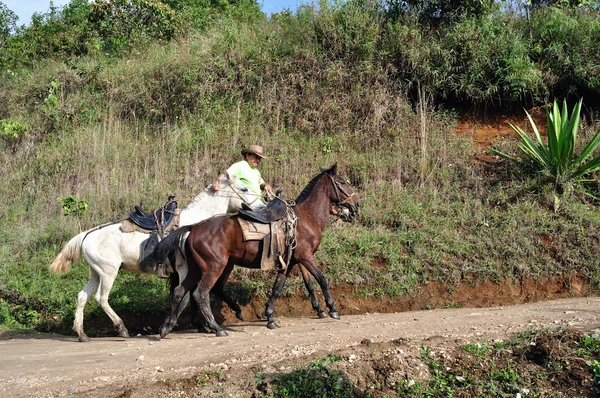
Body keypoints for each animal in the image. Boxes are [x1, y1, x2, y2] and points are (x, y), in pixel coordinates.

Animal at [49, 177, 260, 342]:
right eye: (244, 188)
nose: (260, 206)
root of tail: (86, 235)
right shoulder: (183, 269)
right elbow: (186, 296)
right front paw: (186, 326)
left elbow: (188, 296)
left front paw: (200, 325)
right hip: (109, 272)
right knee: (101, 298)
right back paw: (122, 328)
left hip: (96, 272)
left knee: (82, 296)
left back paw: (82, 334)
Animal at [154, 163, 356, 338]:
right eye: (342, 182)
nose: (355, 206)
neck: (305, 218)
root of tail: (193, 228)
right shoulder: (306, 257)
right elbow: (322, 279)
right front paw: (332, 309)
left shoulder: (290, 262)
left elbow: (279, 288)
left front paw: (270, 317)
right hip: (214, 267)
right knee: (200, 294)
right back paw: (216, 328)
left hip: (199, 268)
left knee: (181, 291)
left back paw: (167, 327)